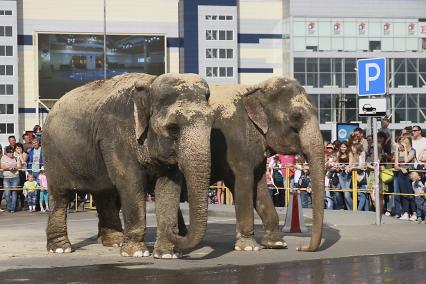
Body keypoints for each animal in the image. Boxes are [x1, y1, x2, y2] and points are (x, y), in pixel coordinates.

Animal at [43, 72, 213, 258]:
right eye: (173, 127)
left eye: (211, 123)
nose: (177, 230)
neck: (150, 84)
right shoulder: (116, 135)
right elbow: (131, 182)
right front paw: (136, 253)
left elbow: (169, 186)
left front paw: (167, 255)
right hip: (53, 155)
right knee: (60, 195)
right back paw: (60, 248)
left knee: (105, 193)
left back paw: (113, 241)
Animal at [166, 76, 322, 252]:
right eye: (296, 117)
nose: (301, 248)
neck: (255, 88)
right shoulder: (236, 142)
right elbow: (244, 183)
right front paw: (249, 247)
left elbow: (259, 187)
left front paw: (276, 244)